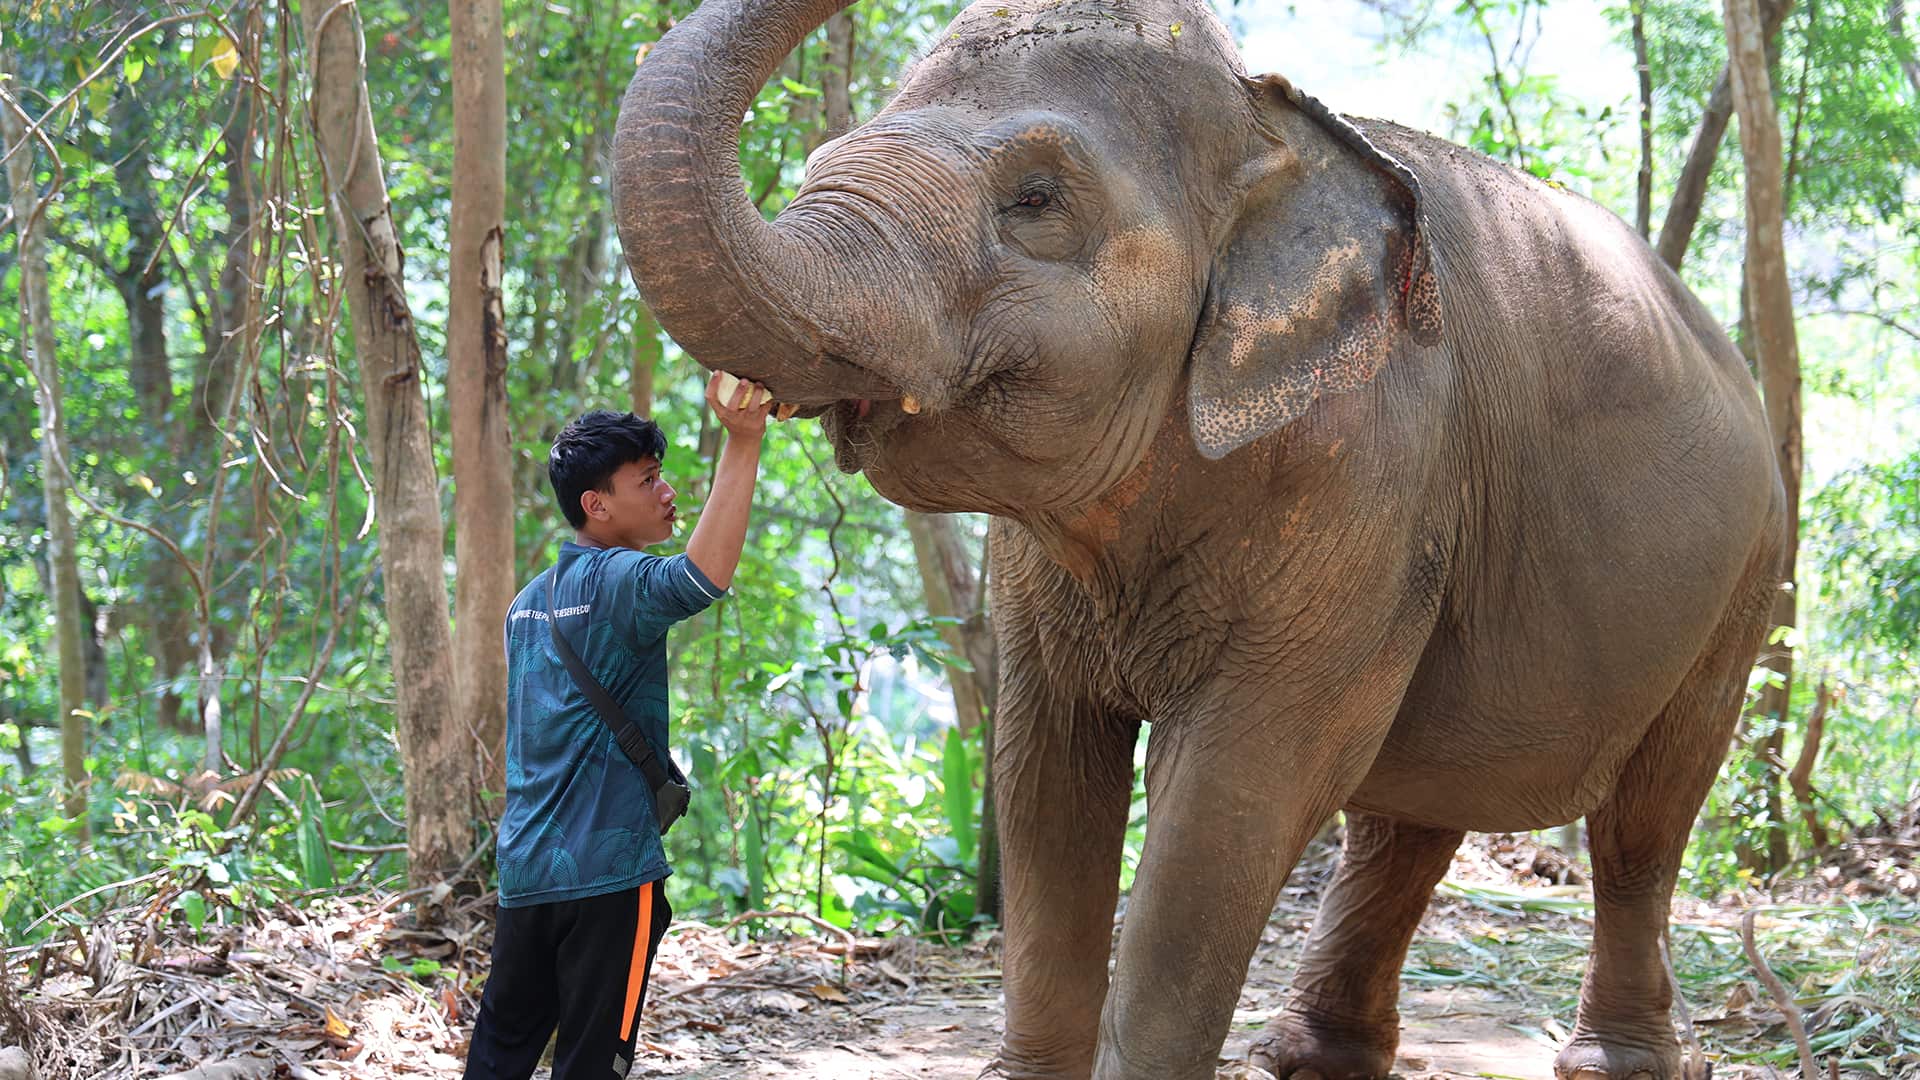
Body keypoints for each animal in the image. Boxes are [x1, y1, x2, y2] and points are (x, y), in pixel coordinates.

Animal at [610, 0, 1788, 1077]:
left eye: (1036, 199)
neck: (1276, 125)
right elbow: (1043, 773)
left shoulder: (1374, 472)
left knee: (1645, 819)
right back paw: (1313, 1059)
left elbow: (1235, 790)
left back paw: (1613, 1060)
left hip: (1747, 579)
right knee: (1406, 815)